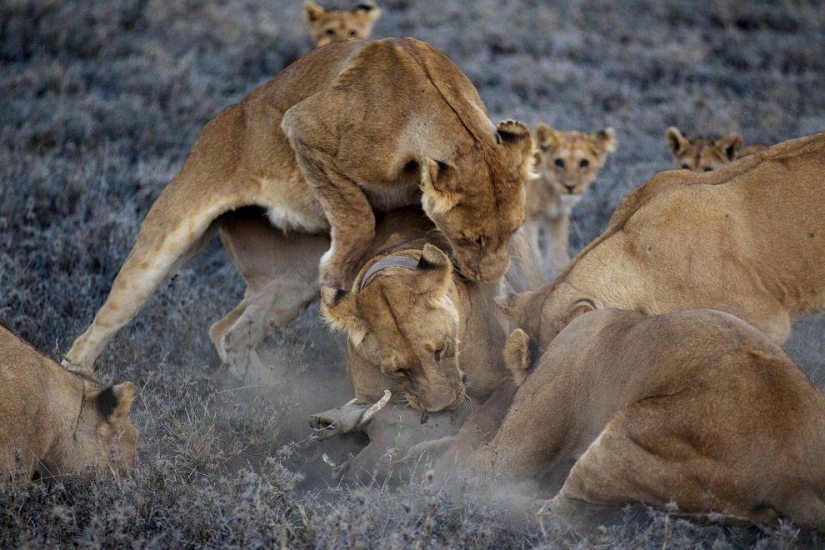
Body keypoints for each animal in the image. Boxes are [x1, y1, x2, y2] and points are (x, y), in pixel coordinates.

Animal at [64, 38, 534, 370]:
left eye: (511, 230)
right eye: (470, 238)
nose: (488, 277)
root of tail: (213, 125)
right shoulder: (305, 128)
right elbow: (356, 214)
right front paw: (337, 272)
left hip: (285, 287)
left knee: (226, 332)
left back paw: (262, 395)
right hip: (168, 239)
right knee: (101, 325)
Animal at [526, 124, 616, 273]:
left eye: (584, 163)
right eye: (559, 162)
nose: (570, 186)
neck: (551, 193)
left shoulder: (558, 216)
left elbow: (558, 252)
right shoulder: (527, 220)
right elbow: (532, 255)